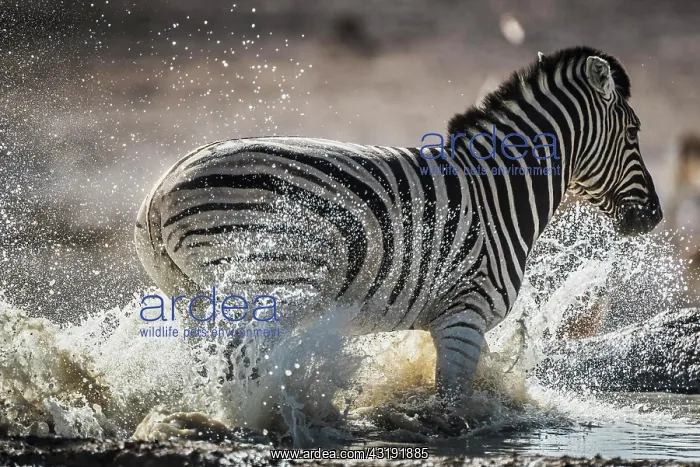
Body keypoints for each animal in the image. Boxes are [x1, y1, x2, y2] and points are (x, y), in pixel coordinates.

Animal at [134, 46, 662, 403]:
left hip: (191, 298)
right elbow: (450, 407)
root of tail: (161, 189)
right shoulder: (464, 314)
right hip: (269, 284)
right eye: (635, 132)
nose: (654, 216)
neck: (499, 194)